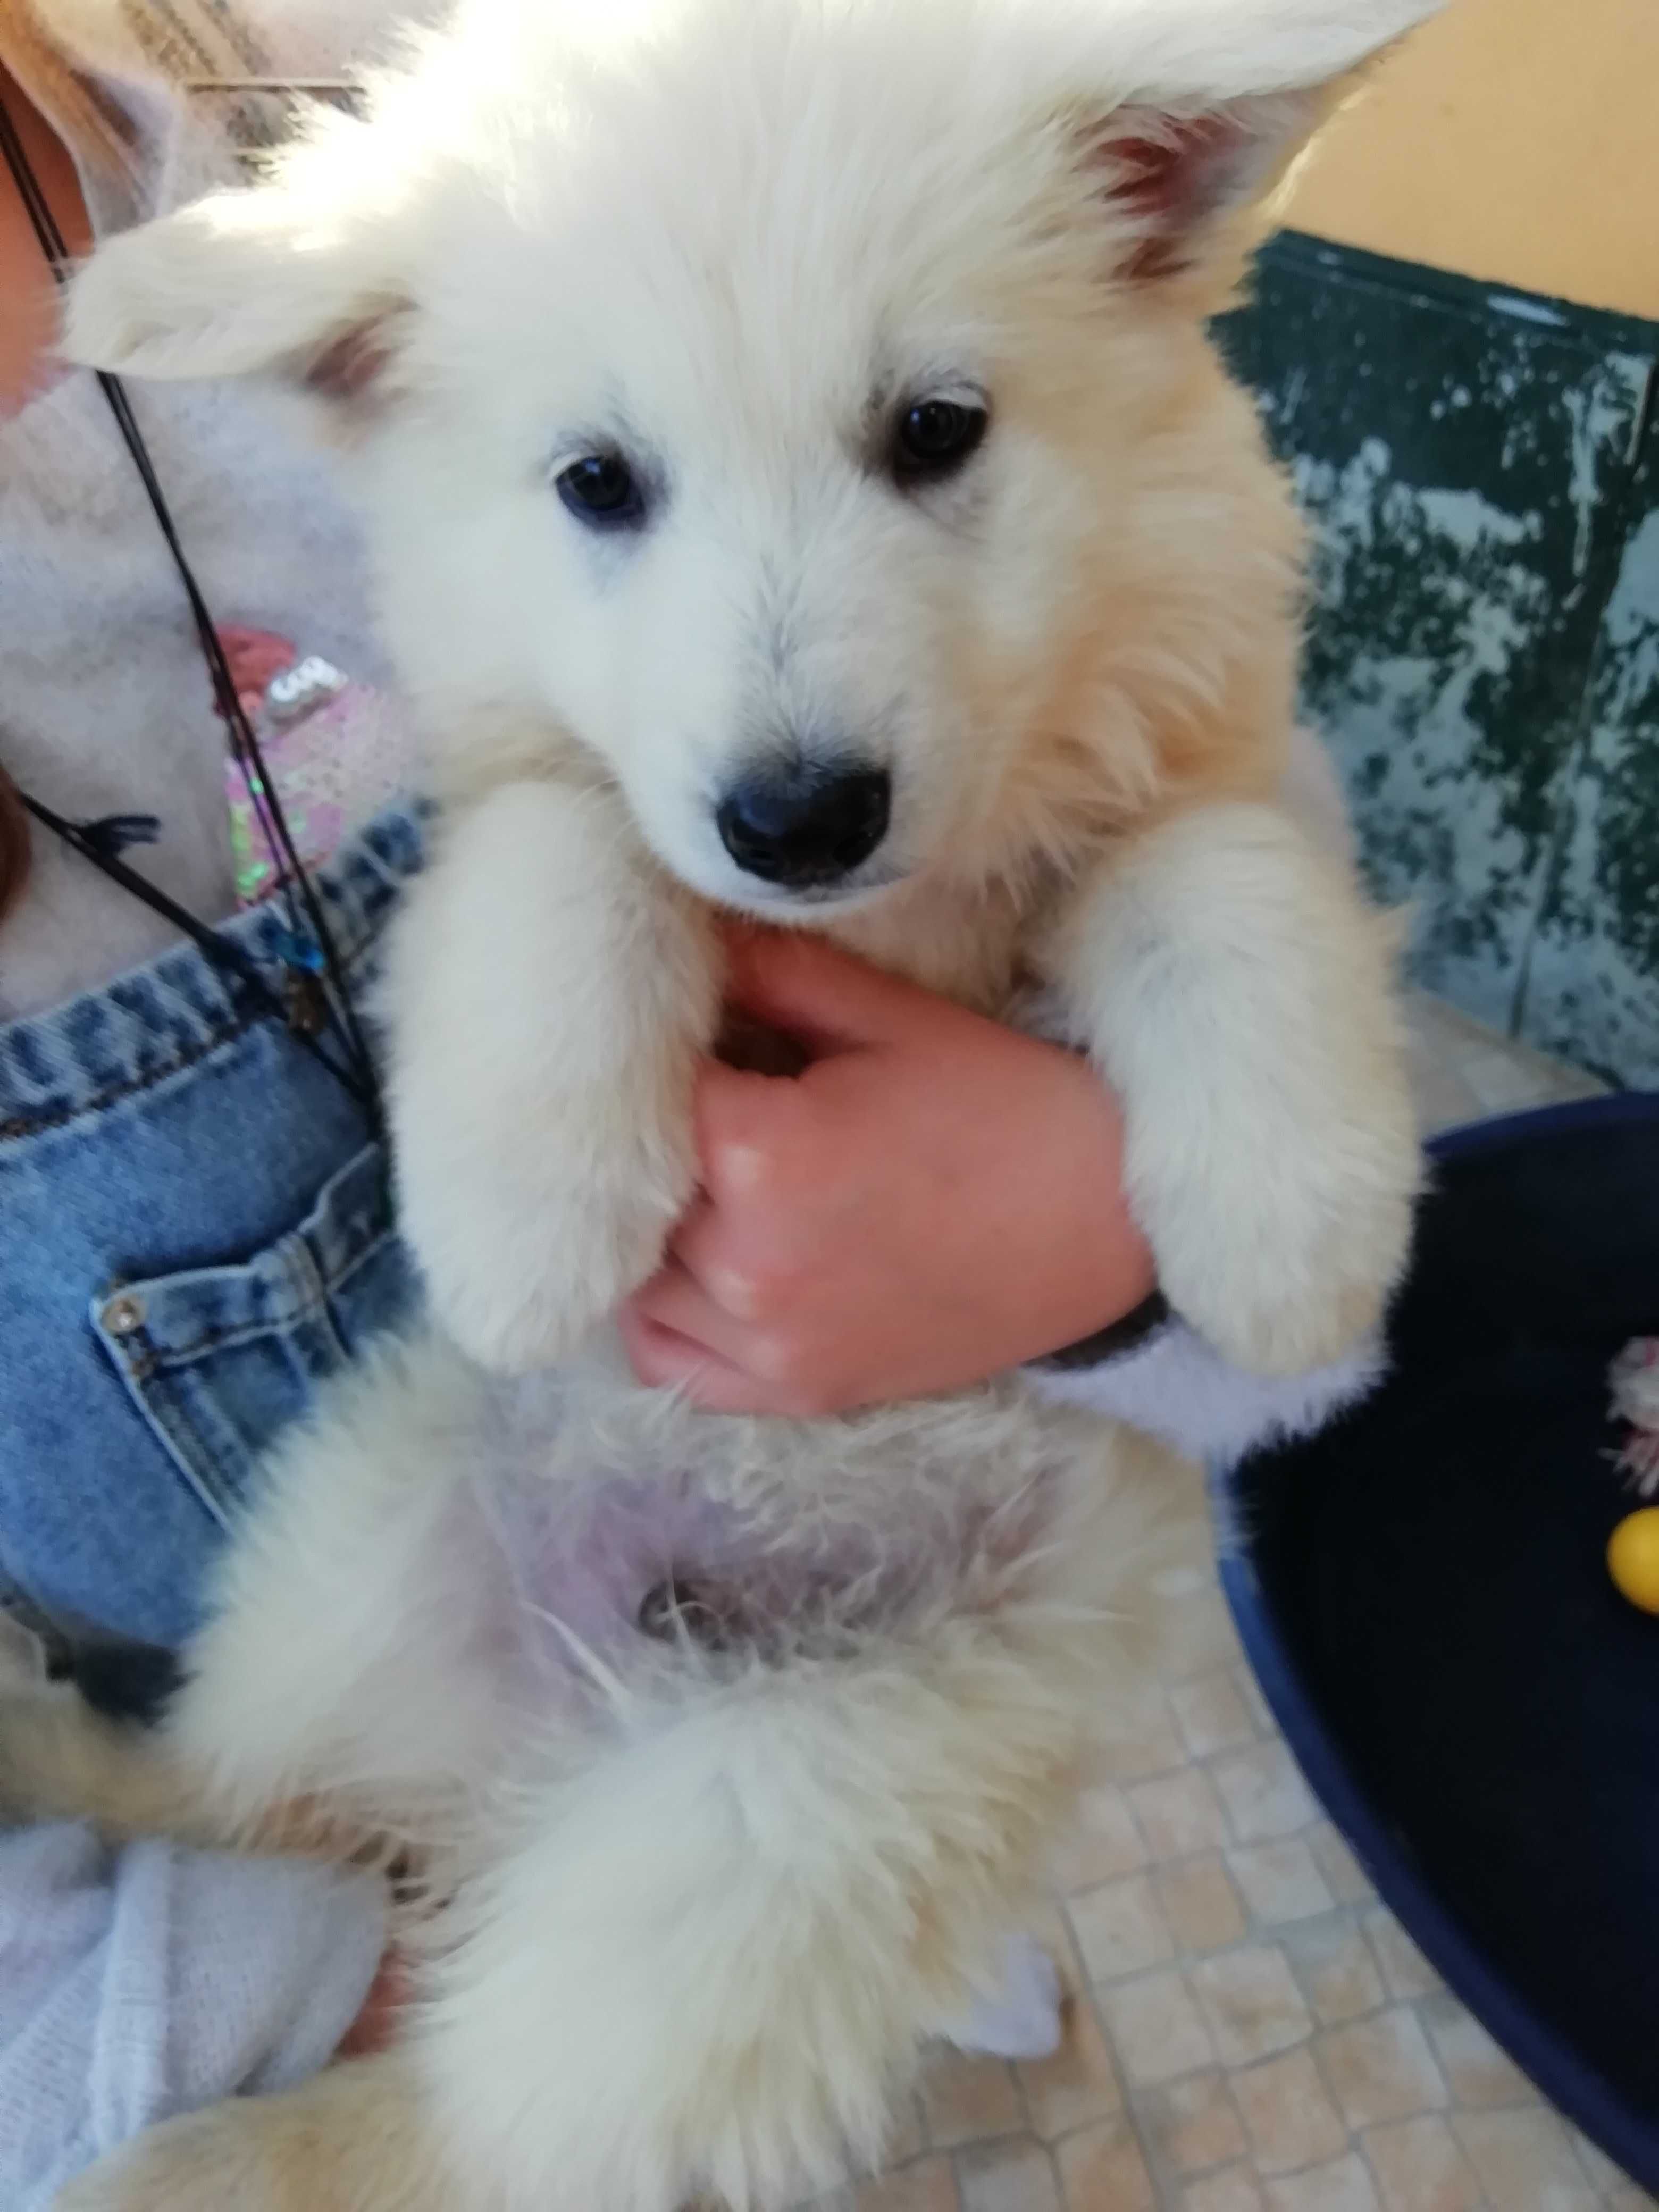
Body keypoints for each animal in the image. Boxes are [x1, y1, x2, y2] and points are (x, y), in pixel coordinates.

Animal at [10, 4, 1442, 2212]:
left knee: (450, 2047)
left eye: (937, 430)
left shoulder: (1220, 770)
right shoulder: (512, 806)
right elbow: (567, 846)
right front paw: (532, 1212)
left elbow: (1208, 873)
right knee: (276, 1829)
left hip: (785, 1813)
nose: (797, 817)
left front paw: (1289, 1238)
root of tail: (551, 1737)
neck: (886, 918)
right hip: (370, 1547)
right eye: (598, 485)